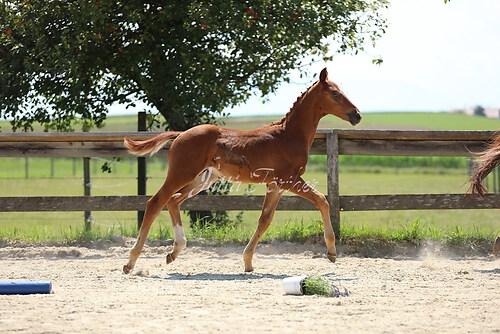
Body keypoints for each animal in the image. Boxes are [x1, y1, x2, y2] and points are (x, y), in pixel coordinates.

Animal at [123, 68, 362, 274]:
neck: (289, 136)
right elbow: (322, 200)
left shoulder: (275, 185)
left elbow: (265, 220)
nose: (357, 115)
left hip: (204, 179)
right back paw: (131, 261)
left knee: (173, 200)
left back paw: (174, 252)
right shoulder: (289, 180)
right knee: (156, 202)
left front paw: (247, 261)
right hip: (182, 174)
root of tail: (180, 134)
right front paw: (331, 252)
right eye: (335, 93)